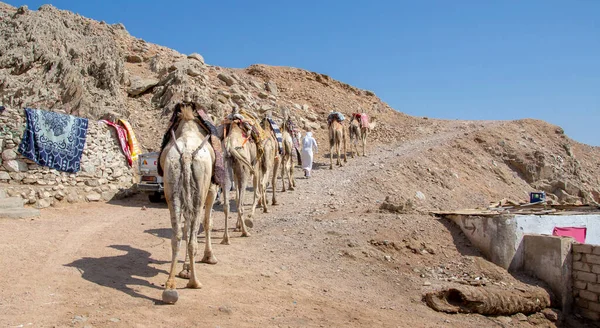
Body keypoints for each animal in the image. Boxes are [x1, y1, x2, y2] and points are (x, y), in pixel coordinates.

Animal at [158, 103, 217, 304]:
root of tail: (186, 155)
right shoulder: (212, 190)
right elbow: (206, 223)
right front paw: (209, 257)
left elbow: (185, 227)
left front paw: (184, 270)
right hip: (200, 189)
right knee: (191, 237)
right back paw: (194, 282)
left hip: (172, 186)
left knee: (176, 235)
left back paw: (170, 286)